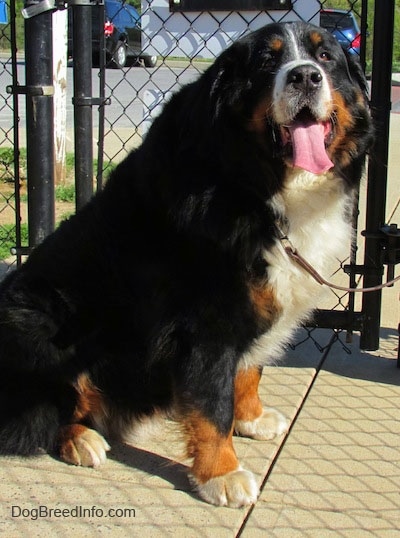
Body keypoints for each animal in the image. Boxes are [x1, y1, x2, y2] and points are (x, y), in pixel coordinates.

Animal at [0, 22, 372, 506]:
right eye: (267, 61)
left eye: (325, 56)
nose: (305, 76)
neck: (254, 183)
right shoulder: (206, 319)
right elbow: (212, 404)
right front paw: (222, 474)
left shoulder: (254, 301)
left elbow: (248, 370)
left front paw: (251, 418)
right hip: (43, 321)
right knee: (38, 416)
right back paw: (81, 439)